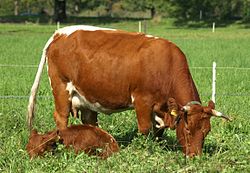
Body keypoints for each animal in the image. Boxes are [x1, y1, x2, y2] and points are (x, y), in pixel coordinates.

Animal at [27, 24, 230, 157]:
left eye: (207, 131)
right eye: (187, 129)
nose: (195, 157)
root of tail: (59, 33)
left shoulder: (160, 108)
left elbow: (158, 132)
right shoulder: (142, 101)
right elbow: (145, 129)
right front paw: (146, 150)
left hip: (87, 97)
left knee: (89, 121)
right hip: (62, 89)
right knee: (61, 117)